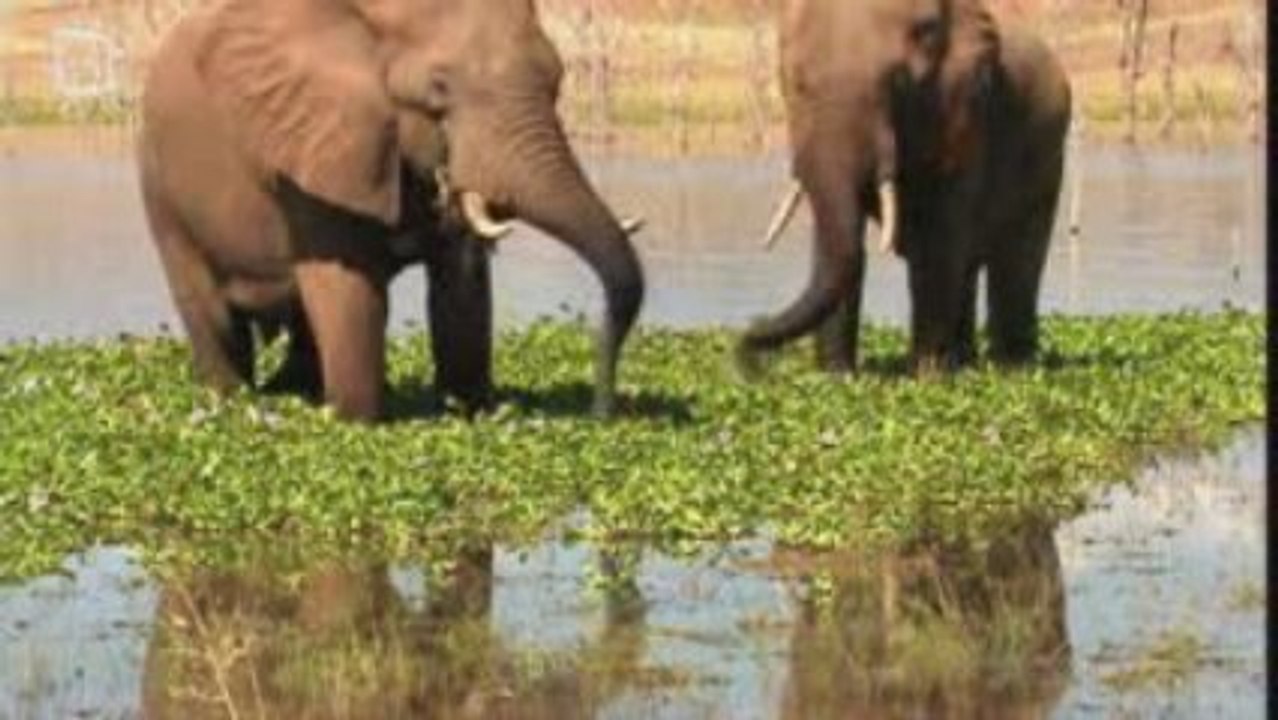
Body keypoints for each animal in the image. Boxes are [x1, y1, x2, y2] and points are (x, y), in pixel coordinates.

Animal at [138, 0, 646, 421]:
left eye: (557, 79)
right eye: (438, 88)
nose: (603, 411)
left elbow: (463, 286)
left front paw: (466, 412)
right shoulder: (316, 154)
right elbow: (347, 291)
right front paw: (355, 422)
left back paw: (293, 391)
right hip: (160, 186)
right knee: (211, 312)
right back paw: (235, 398)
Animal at [741, 0, 1072, 375]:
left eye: (896, 86)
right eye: (797, 86)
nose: (747, 349)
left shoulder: (963, 115)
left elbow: (938, 241)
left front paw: (928, 377)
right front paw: (835, 377)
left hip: (1047, 156)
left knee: (1015, 261)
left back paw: (1011, 368)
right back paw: (967, 363)